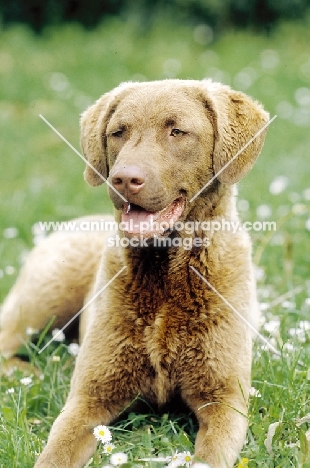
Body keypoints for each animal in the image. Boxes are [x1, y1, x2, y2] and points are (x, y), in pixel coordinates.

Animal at [0, 78, 268, 466]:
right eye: (118, 132)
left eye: (177, 131)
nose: (124, 179)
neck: (164, 275)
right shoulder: (89, 398)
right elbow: (55, 453)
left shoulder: (224, 398)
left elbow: (209, 455)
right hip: (43, 298)